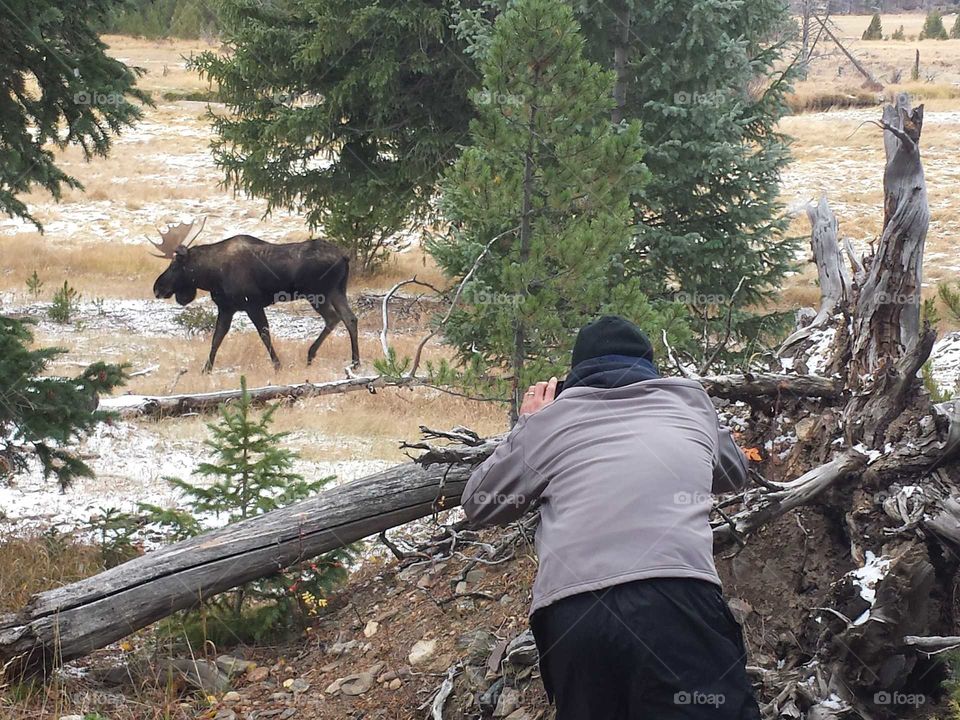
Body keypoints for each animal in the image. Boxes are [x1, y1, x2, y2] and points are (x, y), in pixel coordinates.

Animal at [148, 218, 360, 373]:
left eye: (174, 266)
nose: (157, 288)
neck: (212, 275)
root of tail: (344, 257)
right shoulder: (227, 308)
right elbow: (217, 338)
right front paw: (206, 369)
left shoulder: (252, 304)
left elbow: (264, 334)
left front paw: (278, 365)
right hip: (337, 291)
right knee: (350, 318)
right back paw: (355, 362)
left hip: (317, 293)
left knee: (333, 318)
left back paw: (311, 354)